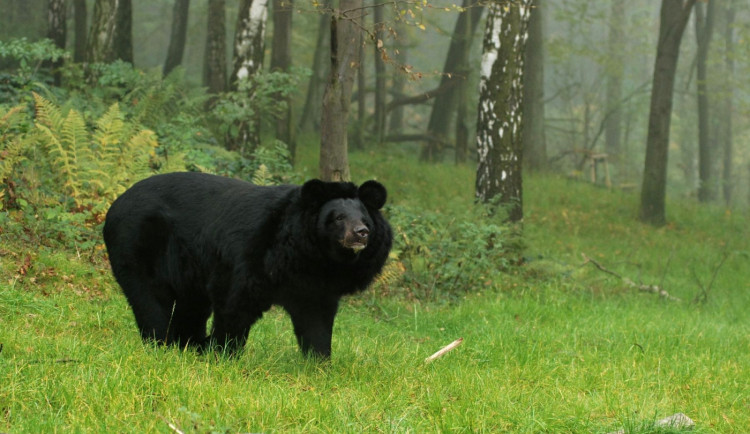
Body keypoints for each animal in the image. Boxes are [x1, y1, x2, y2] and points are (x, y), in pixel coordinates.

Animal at [103, 173, 394, 360]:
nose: (361, 234)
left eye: (364, 218)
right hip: (138, 245)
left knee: (190, 305)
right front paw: (223, 354)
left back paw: (188, 345)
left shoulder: (314, 283)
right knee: (150, 299)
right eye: (338, 218)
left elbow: (316, 320)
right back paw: (162, 344)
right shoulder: (250, 256)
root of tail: (115, 204)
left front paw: (319, 362)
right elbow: (234, 303)